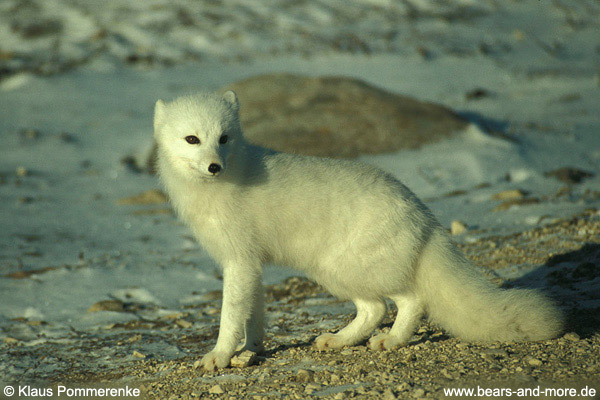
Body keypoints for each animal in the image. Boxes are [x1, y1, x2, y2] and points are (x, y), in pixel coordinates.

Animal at [152, 91, 564, 372]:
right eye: (192, 139)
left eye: (223, 138)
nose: (214, 166)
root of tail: (421, 213)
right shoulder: (250, 263)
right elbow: (254, 314)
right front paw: (251, 349)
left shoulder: (238, 260)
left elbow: (230, 315)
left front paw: (219, 355)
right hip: (337, 272)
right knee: (374, 309)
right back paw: (338, 341)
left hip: (346, 269)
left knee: (408, 301)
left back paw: (392, 340)